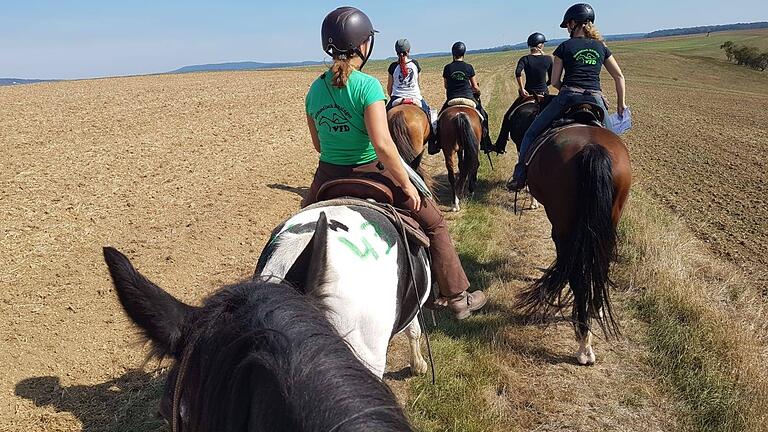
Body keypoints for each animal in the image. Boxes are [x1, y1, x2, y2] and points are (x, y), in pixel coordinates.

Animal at [516, 120, 636, 364]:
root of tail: (592, 149)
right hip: (608, 225)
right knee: (601, 265)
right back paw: (595, 311)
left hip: (564, 227)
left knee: (577, 276)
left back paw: (584, 344)